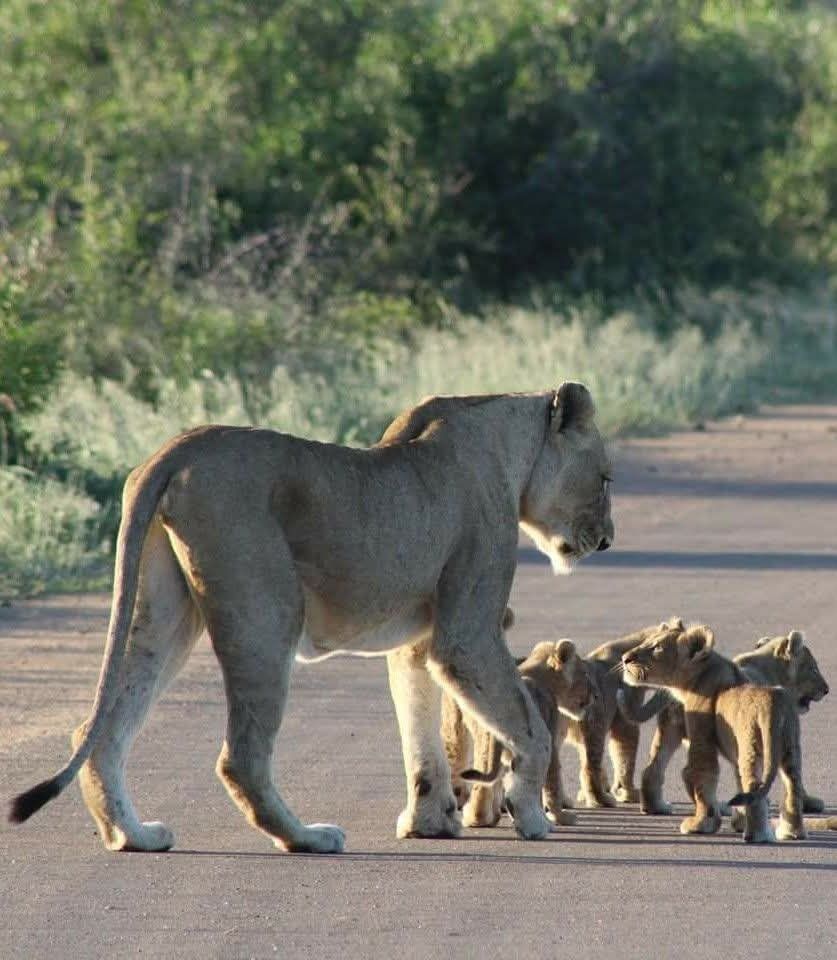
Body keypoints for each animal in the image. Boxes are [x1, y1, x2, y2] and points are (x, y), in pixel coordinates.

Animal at [444, 637, 599, 829]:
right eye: (584, 674)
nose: (596, 695)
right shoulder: (549, 739)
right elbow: (552, 783)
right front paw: (560, 816)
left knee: (484, 778)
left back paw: (479, 818)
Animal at [621, 623, 807, 843]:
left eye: (656, 647)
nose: (624, 658)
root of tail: (773, 702)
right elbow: (733, 782)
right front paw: (737, 821)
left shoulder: (701, 736)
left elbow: (702, 775)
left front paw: (700, 825)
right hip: (790, 748)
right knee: (792, 787)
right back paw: (791, 832)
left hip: (751, 747)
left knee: (753, 784)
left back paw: (756, 835)